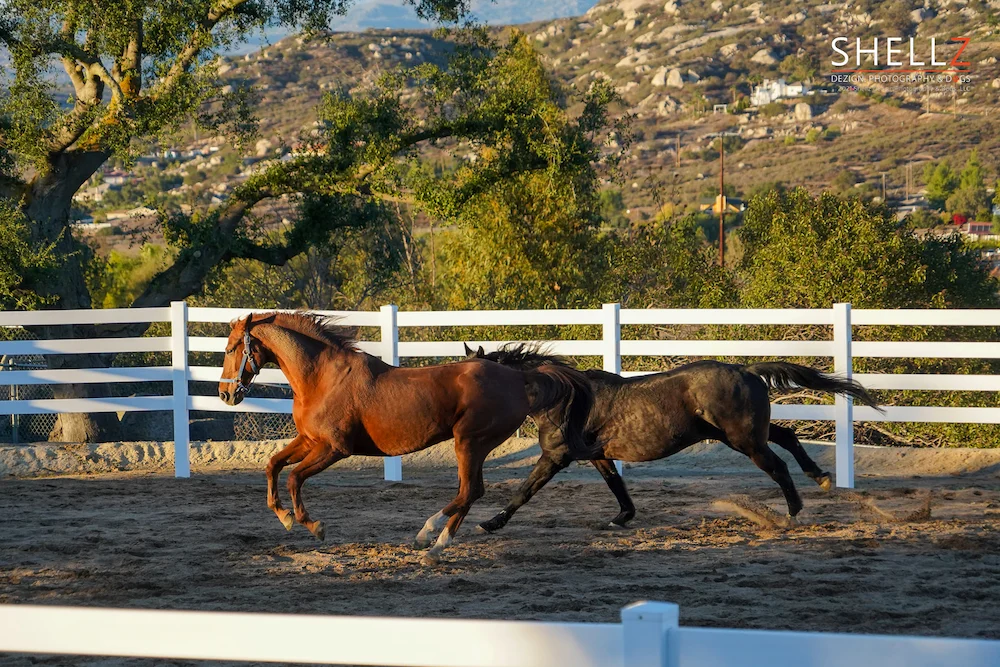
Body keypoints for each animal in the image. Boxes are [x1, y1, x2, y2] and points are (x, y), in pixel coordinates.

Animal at [218, 313, 592, 564]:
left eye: (234, 347)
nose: (225, 394)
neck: (323, 378)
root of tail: (519, 377)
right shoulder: (309, 440)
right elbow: (273, 465)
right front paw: (283, 516)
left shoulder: (334, 448)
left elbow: (294, 477)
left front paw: (313, 525)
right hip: (475, 445)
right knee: (472, 492)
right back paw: (437, 545)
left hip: (469, 442)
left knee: (469, 491)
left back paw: (428, 538)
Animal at [464, 343, 881, 532]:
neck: (563, 395)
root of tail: (746, 369)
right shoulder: (598, 454)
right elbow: (615, 484)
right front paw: (622, 517)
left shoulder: (556, 455)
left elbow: (525, 490)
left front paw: (492, 523)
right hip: (747, 434)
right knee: (790, 437)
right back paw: (820, 477)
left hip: (745, 441)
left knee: (777, 466)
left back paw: (791, 513)